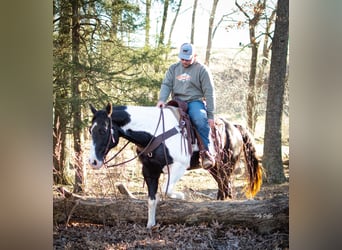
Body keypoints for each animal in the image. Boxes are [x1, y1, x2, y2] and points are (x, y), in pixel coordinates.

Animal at [87, 103, 262, 229]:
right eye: (90, 130)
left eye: (103, 130)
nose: (93, 162)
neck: (155, 133)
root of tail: (234, 127)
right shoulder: (149, 170)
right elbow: (152, 199)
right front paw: (151, 224)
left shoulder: (178, 166)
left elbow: (166, 190)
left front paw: (182, 196)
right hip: (214, 168)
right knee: (222, 188)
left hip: (227, 167)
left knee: (227, 188)